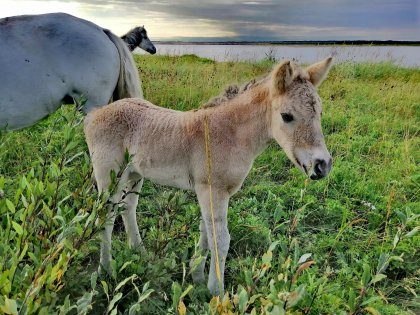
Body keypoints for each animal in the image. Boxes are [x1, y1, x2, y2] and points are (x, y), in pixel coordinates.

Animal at [84, 57, 334, 296]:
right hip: (109, 176)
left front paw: (197, 279)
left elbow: (206, 231)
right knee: (105, 216)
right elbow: (220, 240)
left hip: (135, 174)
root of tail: (95, 114)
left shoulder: (213, 192)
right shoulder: (212, 189)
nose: (322, 165)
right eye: (287, 116)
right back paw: (105, 269)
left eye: (320, 113)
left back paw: (140, 253)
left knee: (128, 208)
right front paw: (216, 293)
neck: (228, 133)